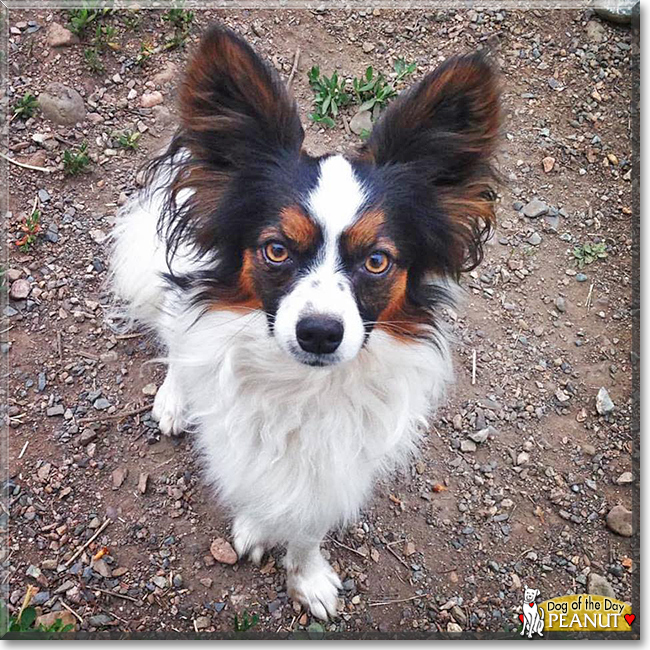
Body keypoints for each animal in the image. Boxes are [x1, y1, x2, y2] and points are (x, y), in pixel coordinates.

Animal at [109, 25, 498, 620]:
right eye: (276, 250)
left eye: (377, 260)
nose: (319, 333)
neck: (305, 388)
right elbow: (255, 481)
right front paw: (256, 523)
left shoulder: (340, 462)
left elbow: (309, 522)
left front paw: (307, 576)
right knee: (175, 331)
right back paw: (175, 399)